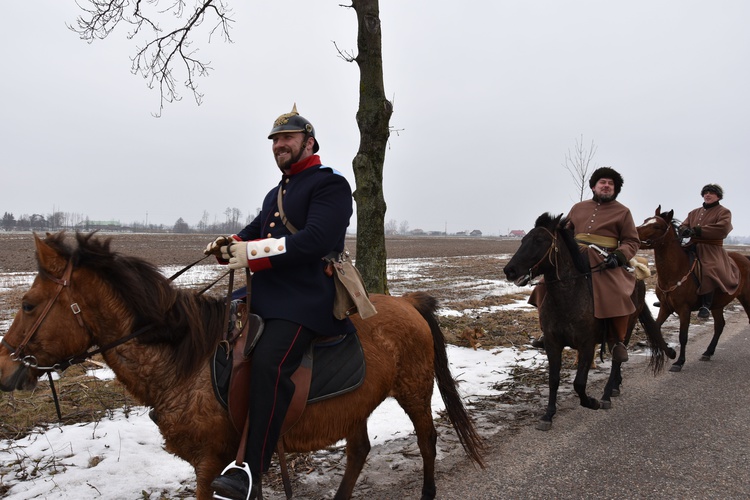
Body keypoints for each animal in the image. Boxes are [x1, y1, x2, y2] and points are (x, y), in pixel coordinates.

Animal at [0, 233, 484, 500]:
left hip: (414, 390)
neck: (187, 360)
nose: (5, 369)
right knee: (359, 451)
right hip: (355, 405)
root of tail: (408, 301)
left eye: (28, 304)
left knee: (426, 440)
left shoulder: (213, 462)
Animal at [506, 212, 676, 430]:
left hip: (626, 328)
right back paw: (615, 387)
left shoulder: (586, 345)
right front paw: (548, 415)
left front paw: (592, 402)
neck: (568, 297)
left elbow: (579, 383)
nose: (509, 270)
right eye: (523, 239)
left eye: (540, 240)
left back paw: (606, 395)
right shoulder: (553, 344)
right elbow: (553, 379)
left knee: (617, 360)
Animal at [636, 206, 750, 372]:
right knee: (719, 325)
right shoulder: (665, 307)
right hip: (717, 305)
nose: (634, 232)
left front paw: (679, 361)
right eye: (645, 220)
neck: (675, 271)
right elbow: (656, 328)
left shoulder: (684, 309)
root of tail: (746, 258)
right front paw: (671, 352)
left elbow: (683, 336)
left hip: (746, 298)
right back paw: (708, 352)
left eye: (656, 226)